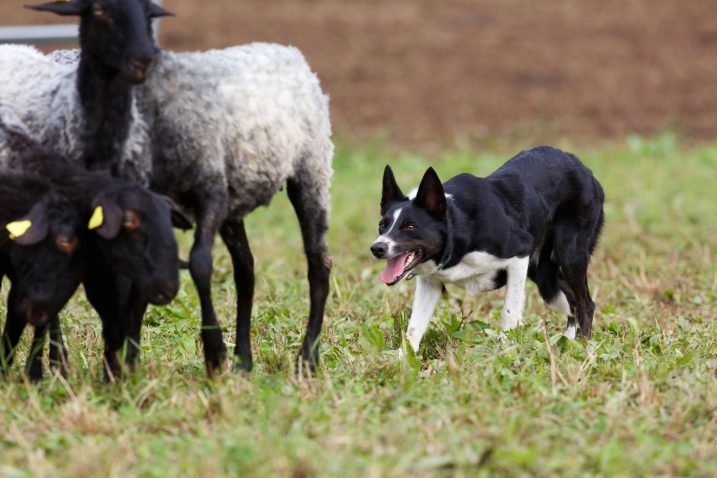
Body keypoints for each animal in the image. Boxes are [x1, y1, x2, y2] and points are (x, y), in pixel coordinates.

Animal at [2, 0, 334, 374]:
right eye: (98, 11)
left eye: (148, 14)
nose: (142, 60)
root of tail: (290, 52)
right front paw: (123, 363)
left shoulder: (208, 192)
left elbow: (199, 264)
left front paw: (212, 352)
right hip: (235, 196)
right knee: (246, 268)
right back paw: (244, 360)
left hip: (311, 170)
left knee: (318, 264)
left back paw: (307, 359)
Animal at [370, 144, 604, 352]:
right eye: (382, 225)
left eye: (410, 226)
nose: (377, 248)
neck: (458, 226)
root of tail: (586, 171)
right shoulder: (431, 283)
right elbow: (414, 326)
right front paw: (404, 359)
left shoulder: (519, 254)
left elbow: (509, 312)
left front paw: (505, 349)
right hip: (544, 277)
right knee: (571, 301)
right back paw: (569, 341)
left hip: (570, 255)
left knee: (585, 304)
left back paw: (583, 346)